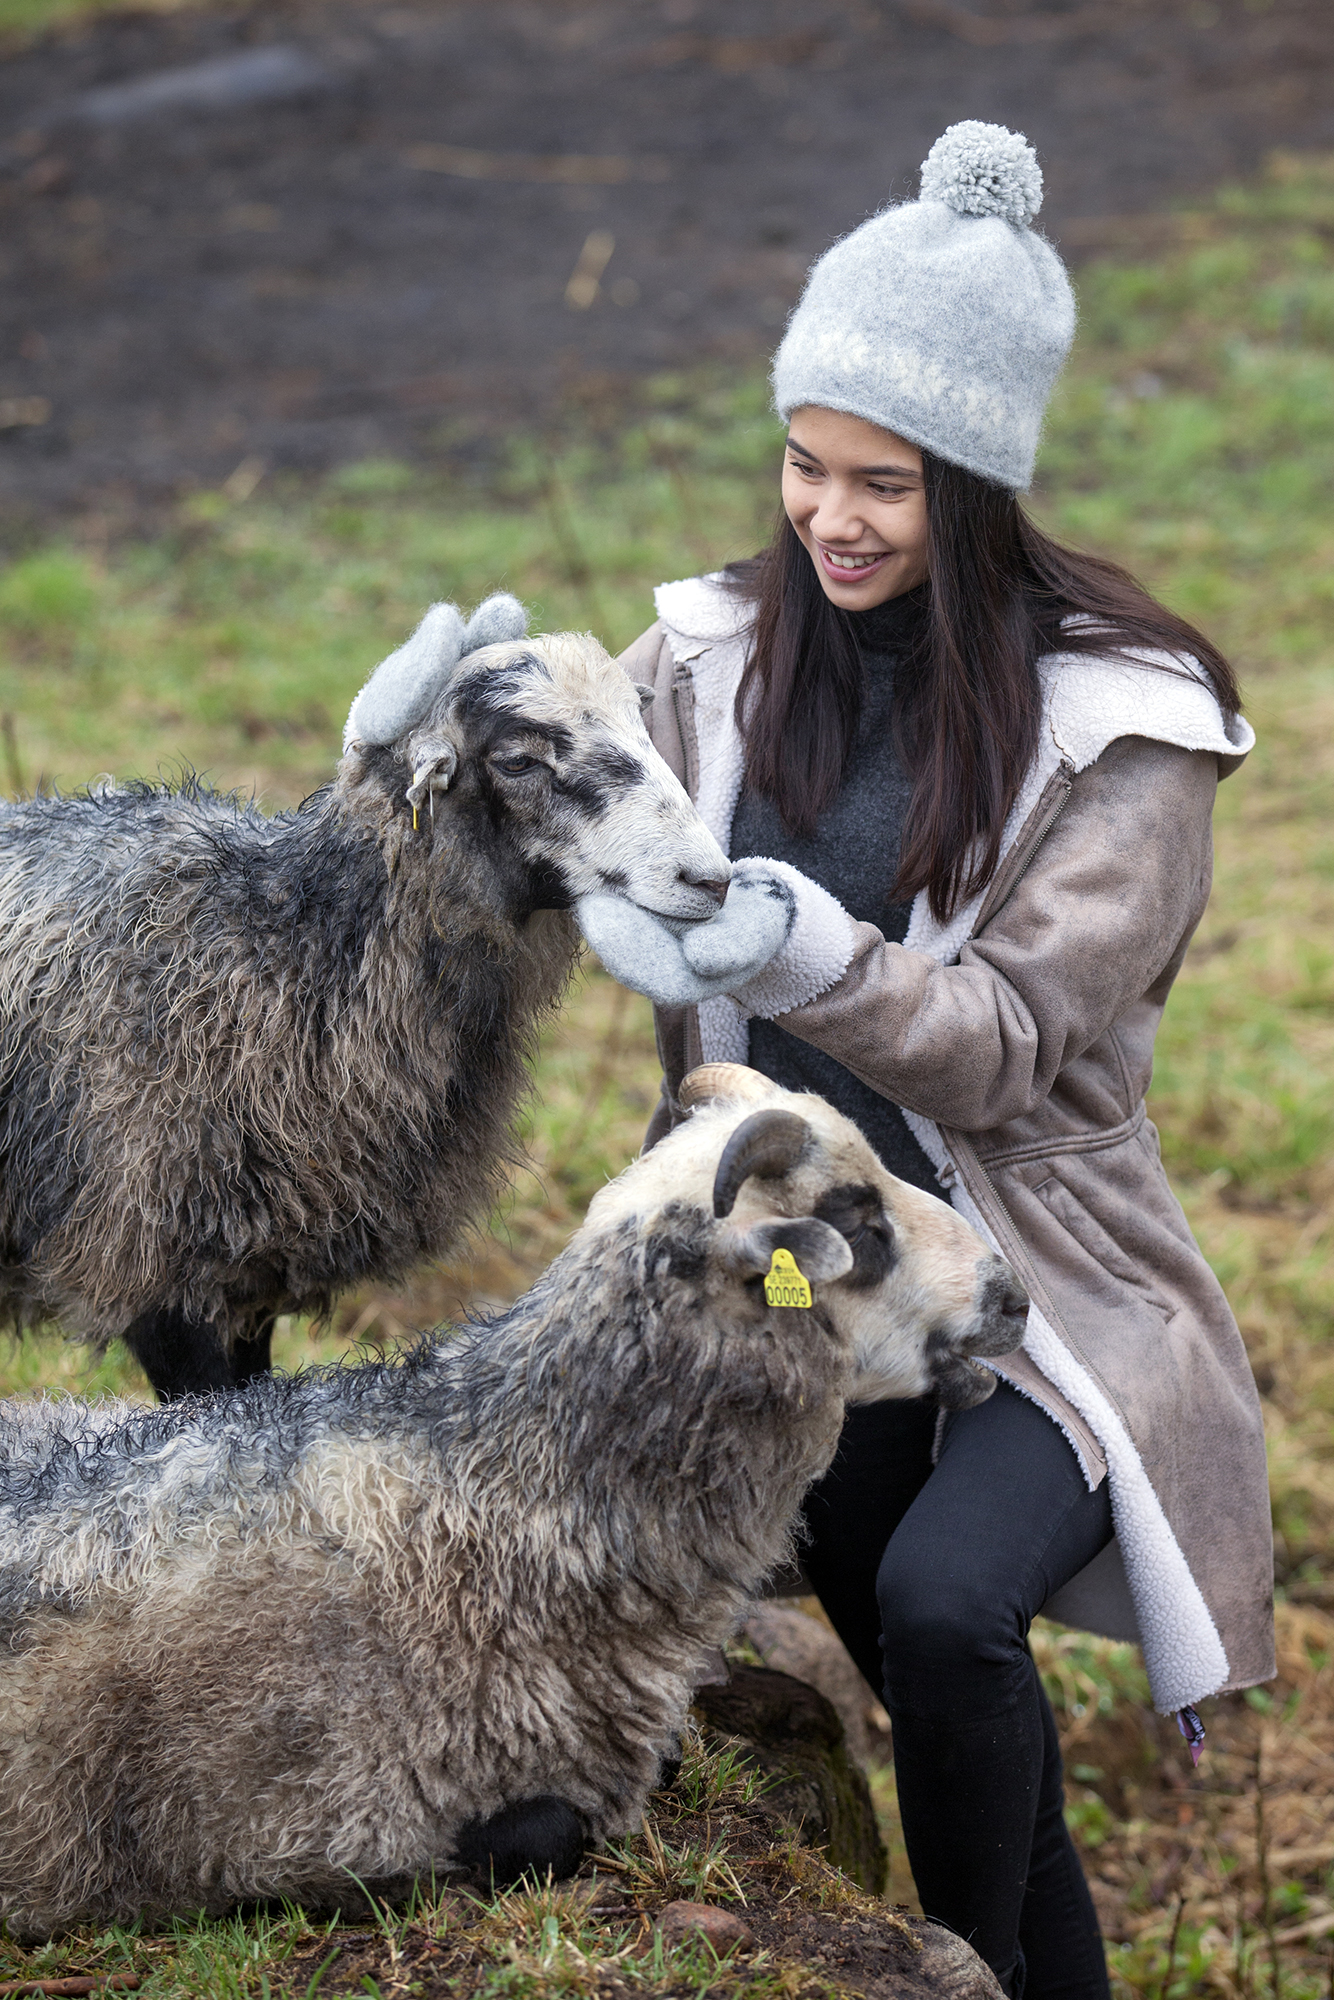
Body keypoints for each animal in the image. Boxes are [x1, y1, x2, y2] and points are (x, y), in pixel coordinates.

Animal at [0, 596, 732, 1408]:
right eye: (516, 759)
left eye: (643, 724)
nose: (710, 879)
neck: (284, 949)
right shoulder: (155, 1276)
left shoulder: (252, 1277)